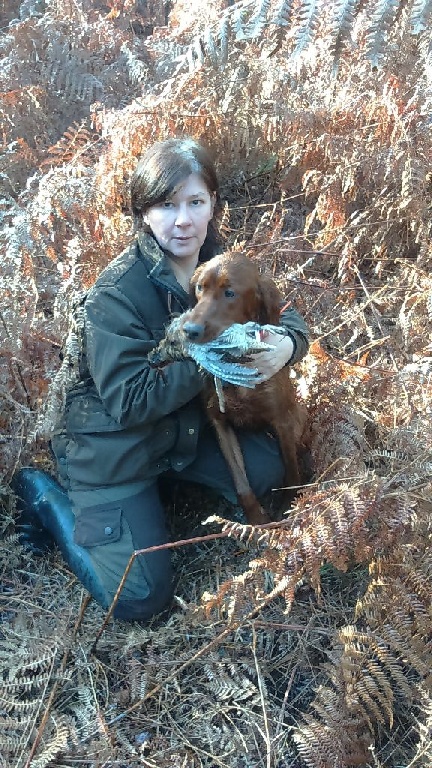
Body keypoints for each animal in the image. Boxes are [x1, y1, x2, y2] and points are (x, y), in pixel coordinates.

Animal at [181, 255, 306, 524]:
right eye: (200, 288)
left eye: (230, 293)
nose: (189, 331)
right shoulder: (219, 422)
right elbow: (240, 482)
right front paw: (258, 522)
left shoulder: (282, 419)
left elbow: (291, 469)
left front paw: (289, 505)